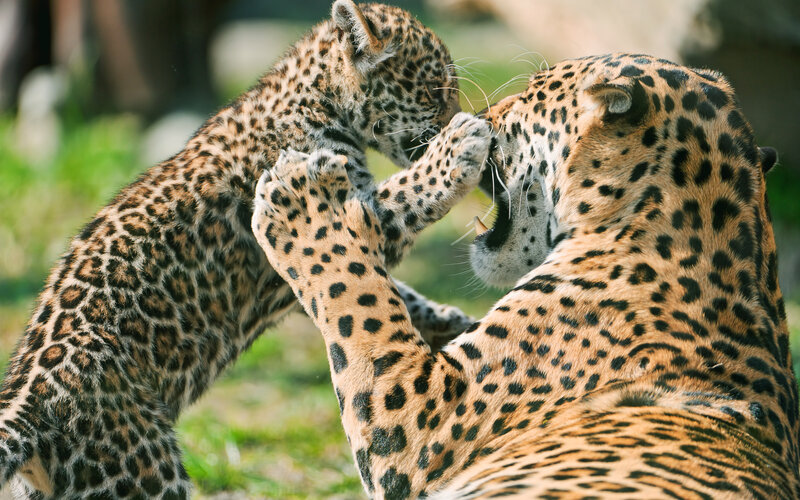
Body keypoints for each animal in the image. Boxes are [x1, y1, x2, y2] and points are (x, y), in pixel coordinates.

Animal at [0, 2, 493, 498]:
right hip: (145, 473)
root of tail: (27, 407)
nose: (469, 116)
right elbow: (403, 198)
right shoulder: (346, 211)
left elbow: (372, 286)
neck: (314, 97)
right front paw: (458, 147)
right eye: (435, 91)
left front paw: (446, 321)